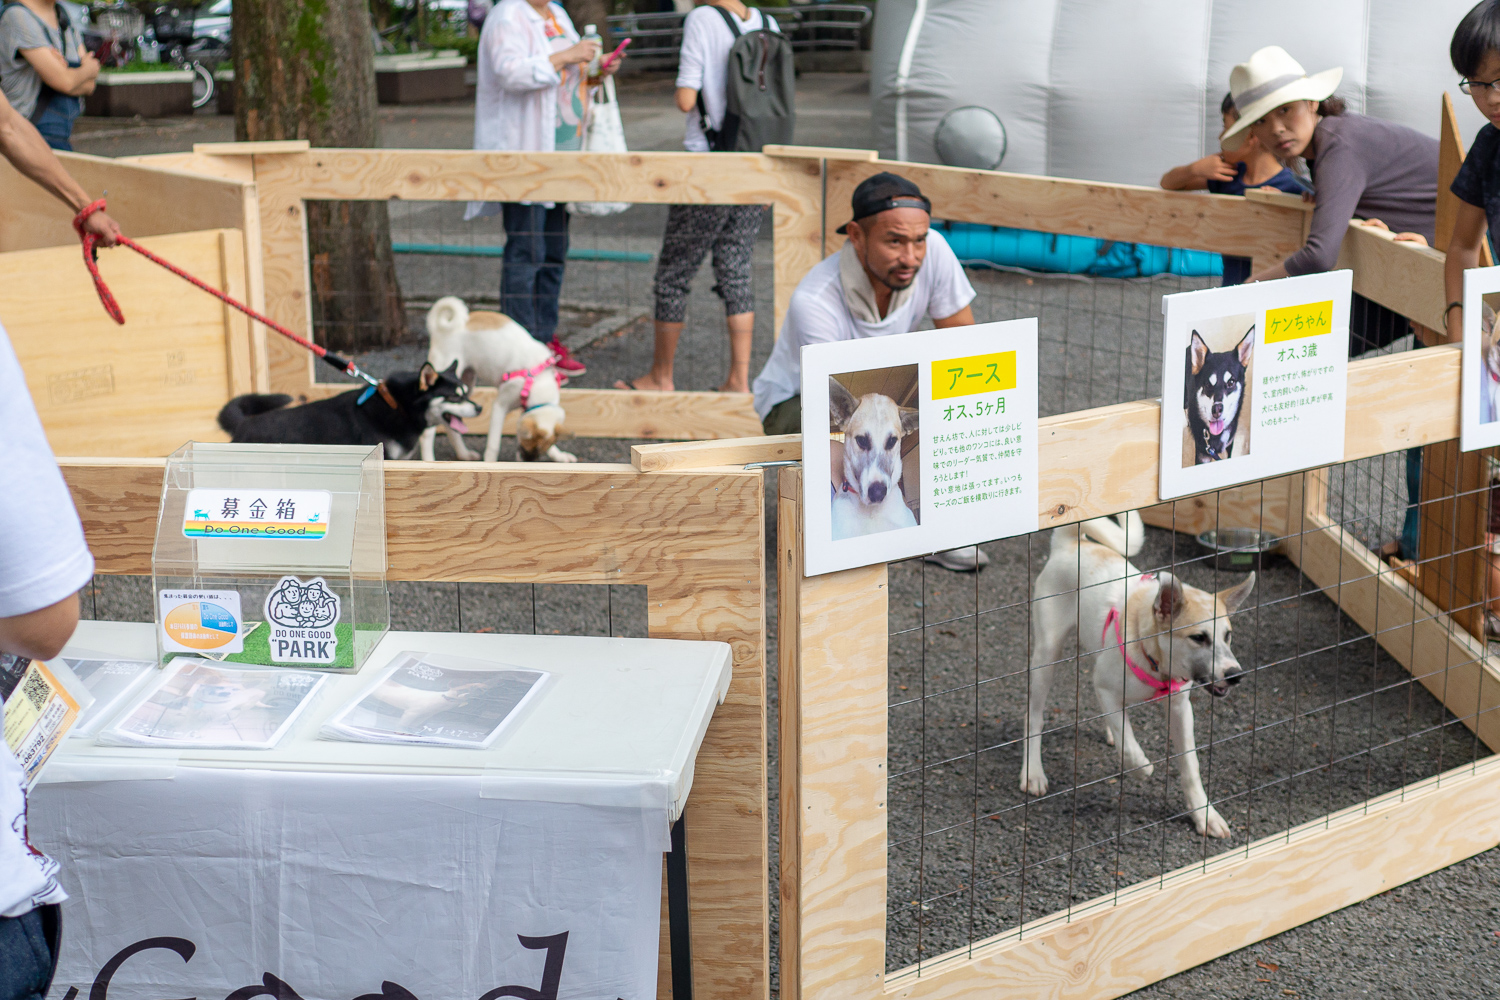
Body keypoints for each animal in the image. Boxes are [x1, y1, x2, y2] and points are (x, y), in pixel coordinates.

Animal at [420, 296, 576, 464]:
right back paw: (429, 460)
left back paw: (464, 454)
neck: (538, 381)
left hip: (465, 385)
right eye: (527, 443)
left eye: (540, 450)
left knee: (450, 421)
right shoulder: (499, 407)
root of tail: (443, 329)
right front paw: (490, 464)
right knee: (427, 433)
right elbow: (494, 444)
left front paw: (559, 455)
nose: (526, 461)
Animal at [1020, 512, 1254, 839]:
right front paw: (1142, 767)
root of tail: (1072, 543)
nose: (1235, 675)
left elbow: (1190, 767)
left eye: (1228, 636)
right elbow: (1131, 749)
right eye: (1198, 638)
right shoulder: (1106, 688)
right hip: (1046, 655)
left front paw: (1204, 815)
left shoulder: (1181, 709)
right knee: (1034, 716)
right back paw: (1033, 772)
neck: (1153, 654)